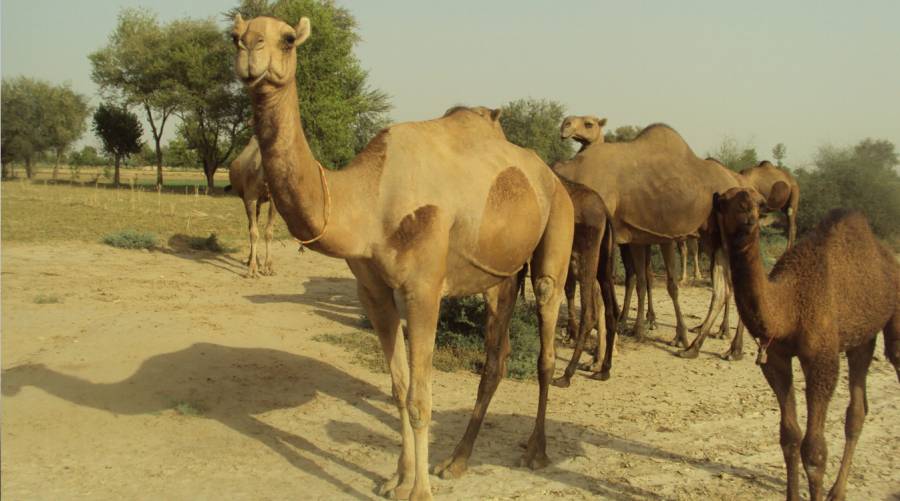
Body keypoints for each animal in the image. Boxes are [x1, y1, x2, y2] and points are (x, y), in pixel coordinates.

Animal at [226, 136, 277, 277]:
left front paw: (269, 268)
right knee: (251, 226)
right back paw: (252, 262)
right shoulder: (250, 198)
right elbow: (253, 232)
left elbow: (269, 232)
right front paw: (252, 271)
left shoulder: (274, 199)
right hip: (246, 198)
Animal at [233, 16, 574, 501]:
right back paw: (457, 461)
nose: (250, 51)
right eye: (234, 37)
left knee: (545, 345)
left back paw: (535, 452)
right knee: (496, 358)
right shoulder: (373, 291)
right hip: (500, 275)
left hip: (558, 225)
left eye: (286, 39)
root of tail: (548, 172)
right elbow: (397, 388)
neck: (368, 198)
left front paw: (419, 491)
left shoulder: (423, 288)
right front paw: (396, 479)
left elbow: (419, 397)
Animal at [713, 187, 899, 501]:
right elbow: (789, 437)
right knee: (857, 409)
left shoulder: (821, 361)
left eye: (758, 203)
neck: (790, 305)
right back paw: (838, 490)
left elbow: (814, 450)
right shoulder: (775, 358)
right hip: (862, 336)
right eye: (726, 202)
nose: (749, 220)